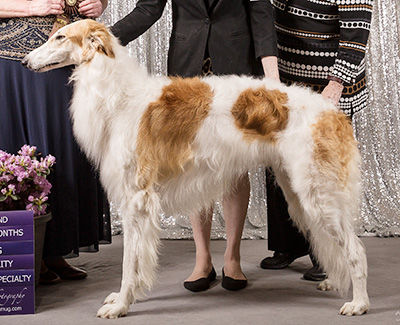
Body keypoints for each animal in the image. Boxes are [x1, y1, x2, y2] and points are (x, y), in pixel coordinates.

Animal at [23, 19, 370, 316]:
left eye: (60, 37)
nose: (25, 61)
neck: (118, 96)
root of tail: (332, 111)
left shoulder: (136, 197)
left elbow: (129, 262)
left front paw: (121, 304)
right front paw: (124, 298)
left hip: (317, 194)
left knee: (356, 249)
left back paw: (359, 303)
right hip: (298, 191)